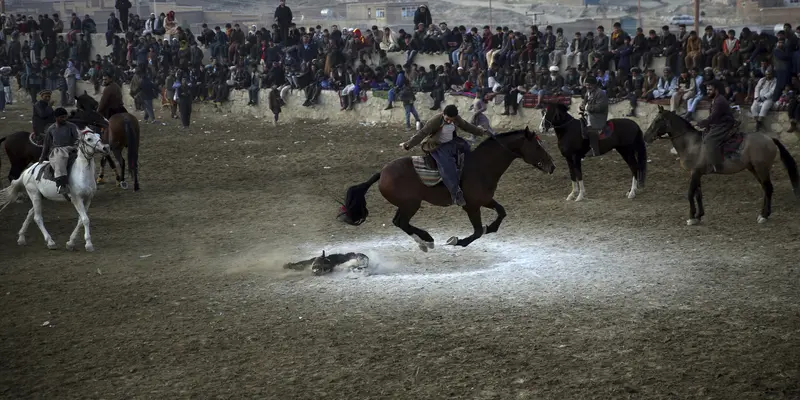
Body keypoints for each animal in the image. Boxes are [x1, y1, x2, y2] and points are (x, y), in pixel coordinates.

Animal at [338, 128, 556, 252]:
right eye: (537, 146)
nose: (552, 165)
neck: (481, 166)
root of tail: (382, 172)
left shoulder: (485, 200)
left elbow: (501, 213)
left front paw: (491, 228)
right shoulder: (471, 206)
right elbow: (477, 231)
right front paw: (457, 241)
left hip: (406, 204)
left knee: (398, 222)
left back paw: (425, 241)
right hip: (411, 204)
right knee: (401, 222)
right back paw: (427, 240)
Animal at [644, 106, 800, 225]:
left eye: (657, 120)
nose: (646, 137)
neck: (691, 144)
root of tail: (770, 139)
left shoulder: (695, 173)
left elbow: (690, 194)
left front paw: (691, 217)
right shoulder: (697, 173)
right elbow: (698, 194)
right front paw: (699, 215)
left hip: (761, 169)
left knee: (768, 188)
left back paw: (764, 216)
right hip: (754, 169)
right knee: (766, 188)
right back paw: (764, 214)